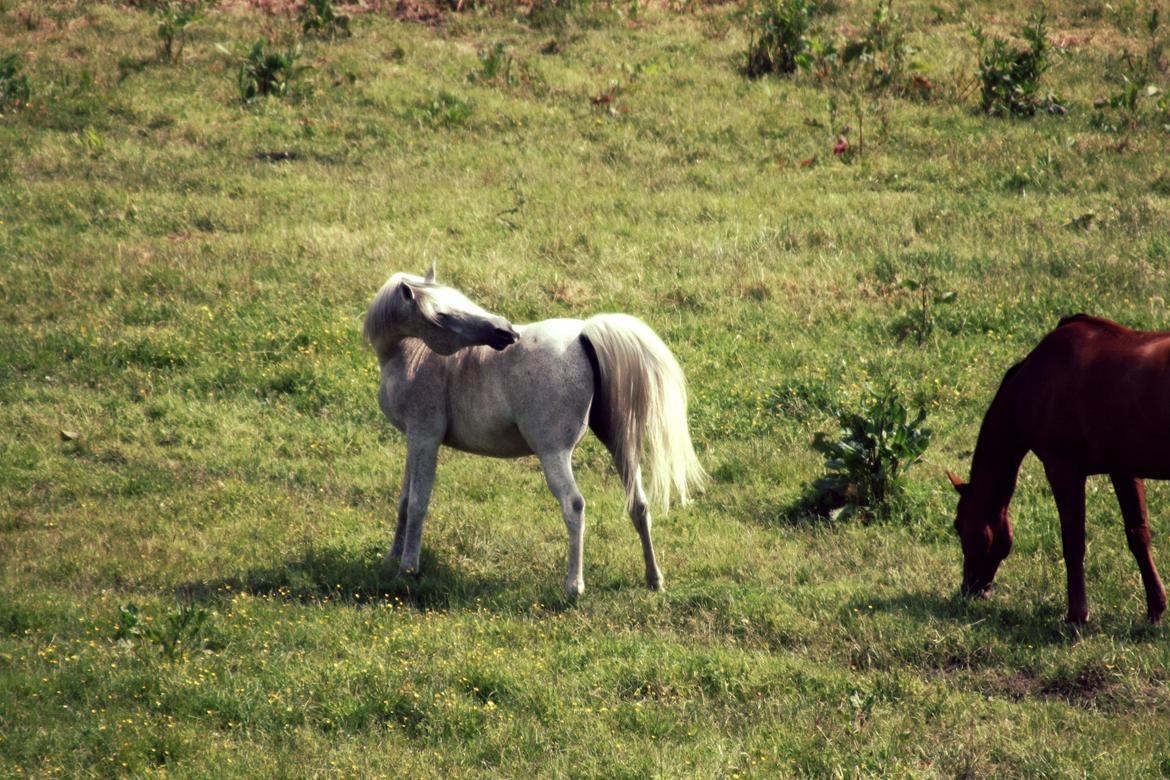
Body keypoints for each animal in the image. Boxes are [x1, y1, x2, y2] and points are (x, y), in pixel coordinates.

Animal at [360, 265, 702, 603]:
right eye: (442, 314)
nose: (506, 331)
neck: (408, 354)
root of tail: (584, 333)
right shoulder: (414, 440)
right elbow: (404, 501)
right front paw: (391, 560)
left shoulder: (424, 437)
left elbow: (418, 503)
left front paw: (407, 569)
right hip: (621, 447)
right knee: (639, 505)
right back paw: (654, 579)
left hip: (552, 453)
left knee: (574, 505)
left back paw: (574, 586)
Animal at [950, 313, 1170, 626]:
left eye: (958, 526)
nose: (969, 590)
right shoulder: (1124, 469)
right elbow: (1138, 535)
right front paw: (1155, 608)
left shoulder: (1063, 469)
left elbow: (1073, 541)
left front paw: (1077, 615)